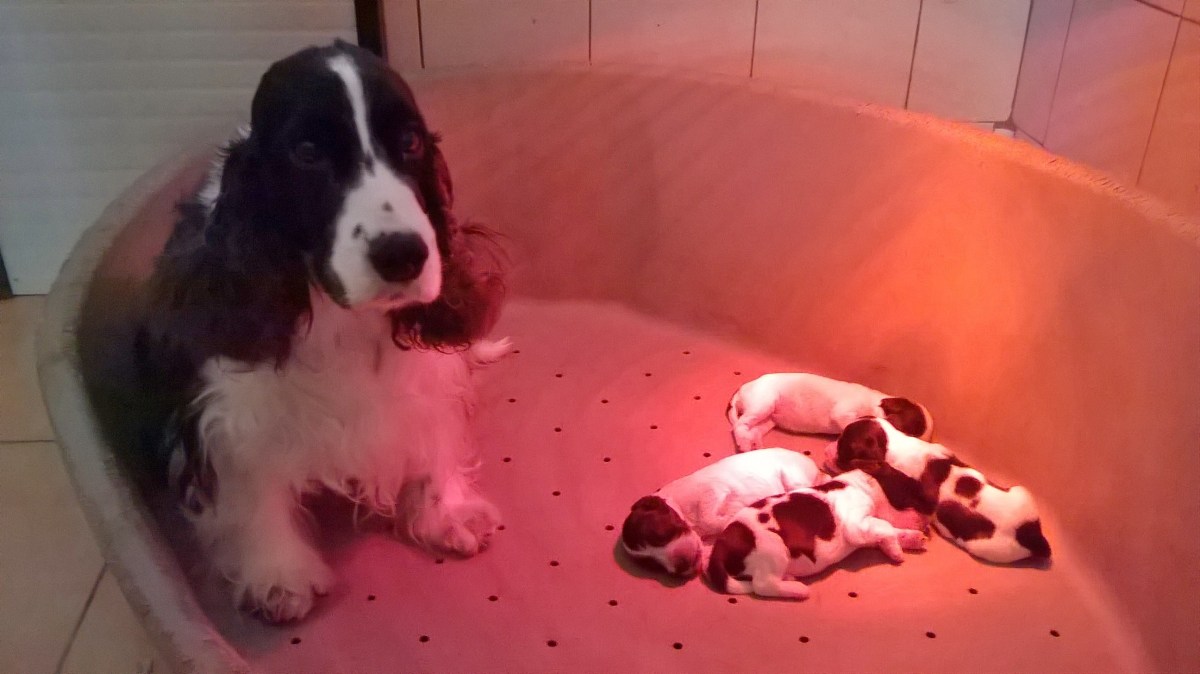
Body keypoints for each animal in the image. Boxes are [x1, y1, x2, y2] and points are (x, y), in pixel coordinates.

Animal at [138, 41, 510, 622]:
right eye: (308, 152)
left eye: (410, 142)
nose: (403, 254)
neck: (342, 318)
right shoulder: (229, 409)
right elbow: (250, 482)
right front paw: (277, 574)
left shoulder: (424, 375)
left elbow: (432, 429)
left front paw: (447, 511)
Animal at [620, 448, 825, 579]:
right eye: (653, 566)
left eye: (662, 535)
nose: (681, 567)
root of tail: (813, 465)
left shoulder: (712, 490)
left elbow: (709, 517)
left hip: (793, 476)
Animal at [705, 470, 927, 600]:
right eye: (910, 498)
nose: (926, 525)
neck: (861, 484)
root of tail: (721, 544)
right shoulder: (856, 525)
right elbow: (886, 526)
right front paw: (897, 550)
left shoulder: (866, 532)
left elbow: (888, 531)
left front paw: (912, 539)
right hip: (772, 547)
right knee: (762, 585)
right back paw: (799, 590)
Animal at [727, 373, 933, 452]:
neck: (876, 405)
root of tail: (741, 389)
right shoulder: (843, 413)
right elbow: (849, 422)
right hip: (763, 404)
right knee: (739, 426)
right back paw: (744, 443)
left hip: (768, 420)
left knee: (753, 429)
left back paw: (754, 443)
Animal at [826, 418, 1051, 563]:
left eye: (842, 447)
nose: (828, 449)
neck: (895, 444)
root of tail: (1033, 536)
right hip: (1022, 490)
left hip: (985, 549)